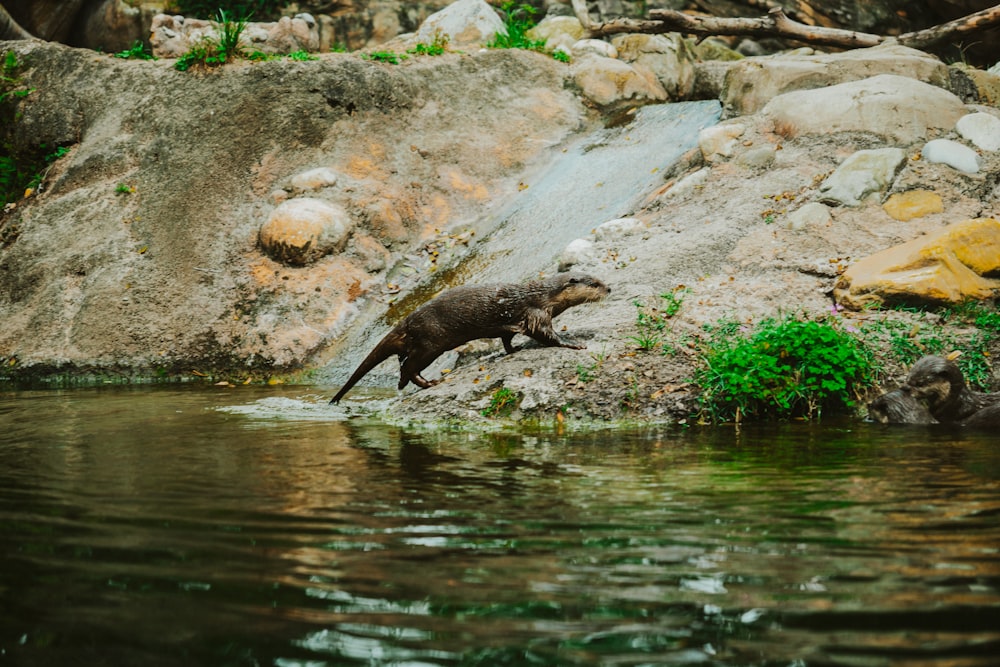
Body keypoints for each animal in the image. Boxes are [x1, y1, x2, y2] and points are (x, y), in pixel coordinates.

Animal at [330, 274, 608, 404]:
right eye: (594, 283)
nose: (609, 288)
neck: (544, 296)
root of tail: (407, 320)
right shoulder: (536, 313)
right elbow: (545, 334)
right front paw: (573, 343)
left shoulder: (512, 324)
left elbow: (507, 338)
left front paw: (512, 351)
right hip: (431, 342)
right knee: (410, 365)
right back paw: (430, 383)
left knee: (402, 363)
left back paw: (403, 383)